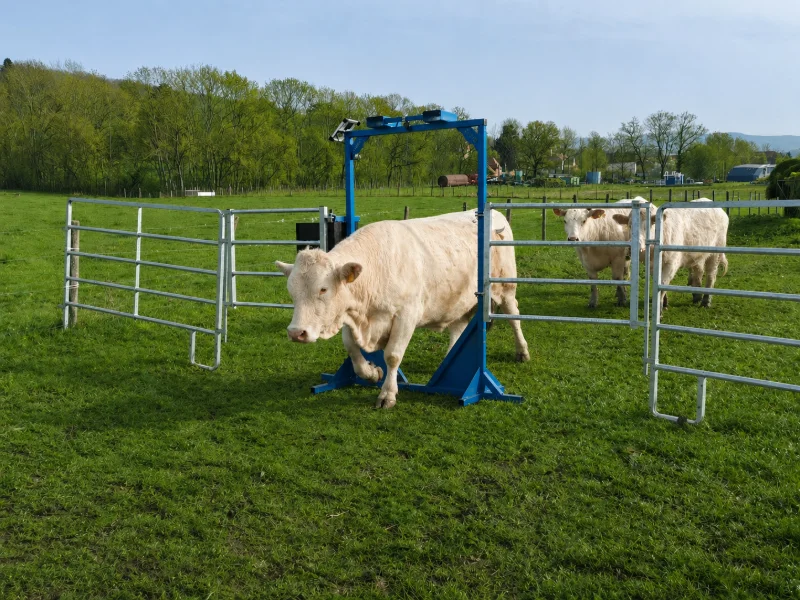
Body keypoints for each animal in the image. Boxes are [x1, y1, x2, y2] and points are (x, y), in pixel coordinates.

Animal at [275, 210, 530, 408]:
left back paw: (522, 351)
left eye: (323, 289)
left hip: (506, 286)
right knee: (458, 327)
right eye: (291, 291)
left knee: (514, 317)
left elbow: (393, 355)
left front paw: (387, 394)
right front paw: (371, 372)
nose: (296, 332)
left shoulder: (406, 315)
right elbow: (352, 349)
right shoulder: (350, 313)